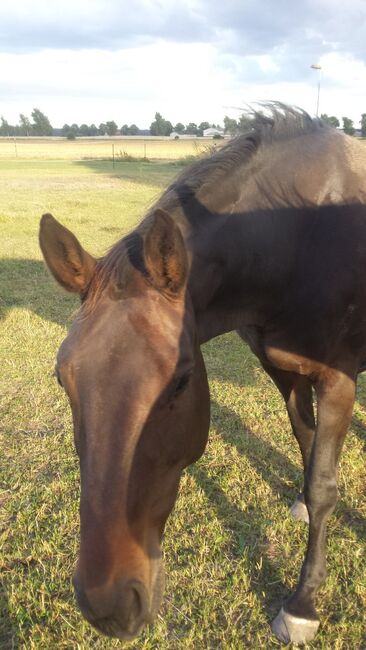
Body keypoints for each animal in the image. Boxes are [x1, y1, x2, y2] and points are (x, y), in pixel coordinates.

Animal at [39, 106, 366, 644]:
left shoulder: (338, 381)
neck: (300, 235)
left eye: (180, 380)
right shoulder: (281, 368)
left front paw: (302, 605)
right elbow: (306, 442)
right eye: (62, 379)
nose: (109, 605)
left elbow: (323, 484)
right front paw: (299, 502)